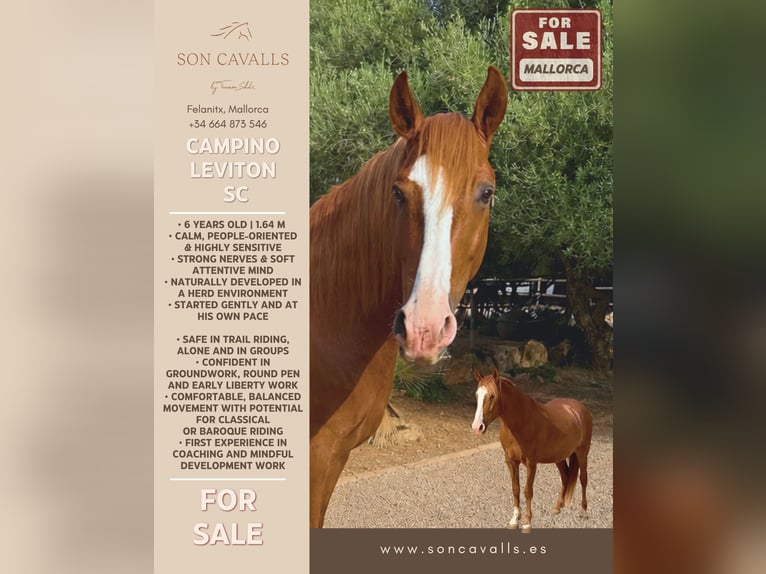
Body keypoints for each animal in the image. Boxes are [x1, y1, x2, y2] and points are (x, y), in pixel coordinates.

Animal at [471, 367, 592, 531]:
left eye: (492, 396)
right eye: (477, 395)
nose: (477, 427)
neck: (521, 421)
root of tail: (579, 408)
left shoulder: (531, 463)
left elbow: (528, 491)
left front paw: (527, 522)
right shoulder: (511, 462)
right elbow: (515, 489)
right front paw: (514, 520)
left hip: (582, 453)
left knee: (583, 479)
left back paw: (583, 512)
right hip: (558, 457)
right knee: (565, 477)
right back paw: (557, 507)